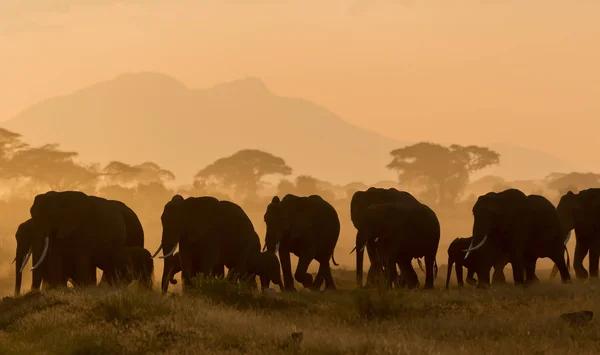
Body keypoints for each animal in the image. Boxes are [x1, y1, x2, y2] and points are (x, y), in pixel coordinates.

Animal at [154, 196, 282, 294]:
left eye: (179, 222)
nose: (164, 294)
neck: (188, 204)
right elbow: (185, 258)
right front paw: (191, 291)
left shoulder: (212, 232)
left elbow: (210, 259)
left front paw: (202, 290)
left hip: (247, 243)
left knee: (238, 267)